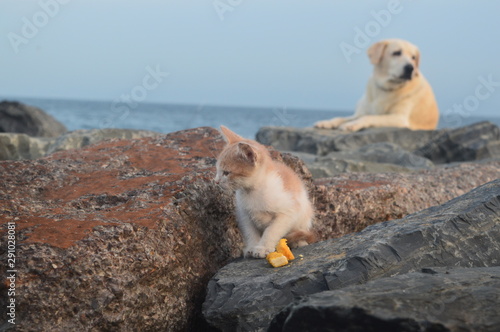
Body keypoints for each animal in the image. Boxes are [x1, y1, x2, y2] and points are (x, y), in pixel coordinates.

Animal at [214, 126, 314, 258]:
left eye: (226, 172)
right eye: (217, 170)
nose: (216, 181)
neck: (253, 192)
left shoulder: (288, 211)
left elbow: (272, 230)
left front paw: (263, 247)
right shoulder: (245, 215)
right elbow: (250, 232)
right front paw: (252, 247)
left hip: (304, 216)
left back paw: (298, 242)